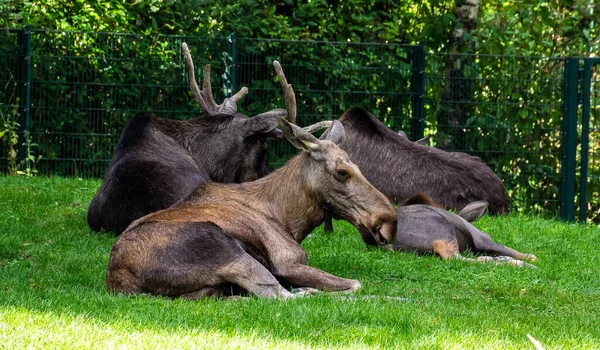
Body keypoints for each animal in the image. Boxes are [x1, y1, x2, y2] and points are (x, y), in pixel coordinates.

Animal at [106, 117, 398, 298]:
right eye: (341, 172)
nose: (389, 223)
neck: (289, 220)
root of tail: (118, 279)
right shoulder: (288, 263)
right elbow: (356, 284)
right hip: (227, 250)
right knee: (277, 295)